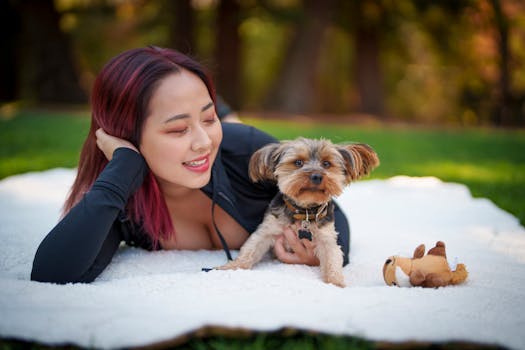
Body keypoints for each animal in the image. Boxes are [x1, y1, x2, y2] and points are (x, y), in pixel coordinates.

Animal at [215, 137, 378, 288]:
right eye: (298, 162)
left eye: (326, 164)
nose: (316, 176)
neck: (304, 211)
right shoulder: (268, 230)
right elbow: (250, 248)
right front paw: (232, 267)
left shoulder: (327, 238)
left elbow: (333, 258)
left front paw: (335, 283)